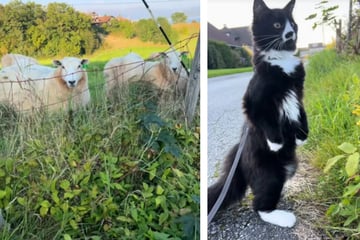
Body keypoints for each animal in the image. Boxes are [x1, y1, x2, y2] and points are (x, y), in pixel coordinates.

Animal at [208, 0, 310, 229]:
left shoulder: (298, 93)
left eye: (293, 24)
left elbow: (302, 114)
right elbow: (266, 120)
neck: (282, 62)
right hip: (269, 173)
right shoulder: (253, 101)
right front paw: (276, 142)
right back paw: (283, 217)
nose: (290, 33)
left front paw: (302, 137)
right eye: (277, 25)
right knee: (259, 207)